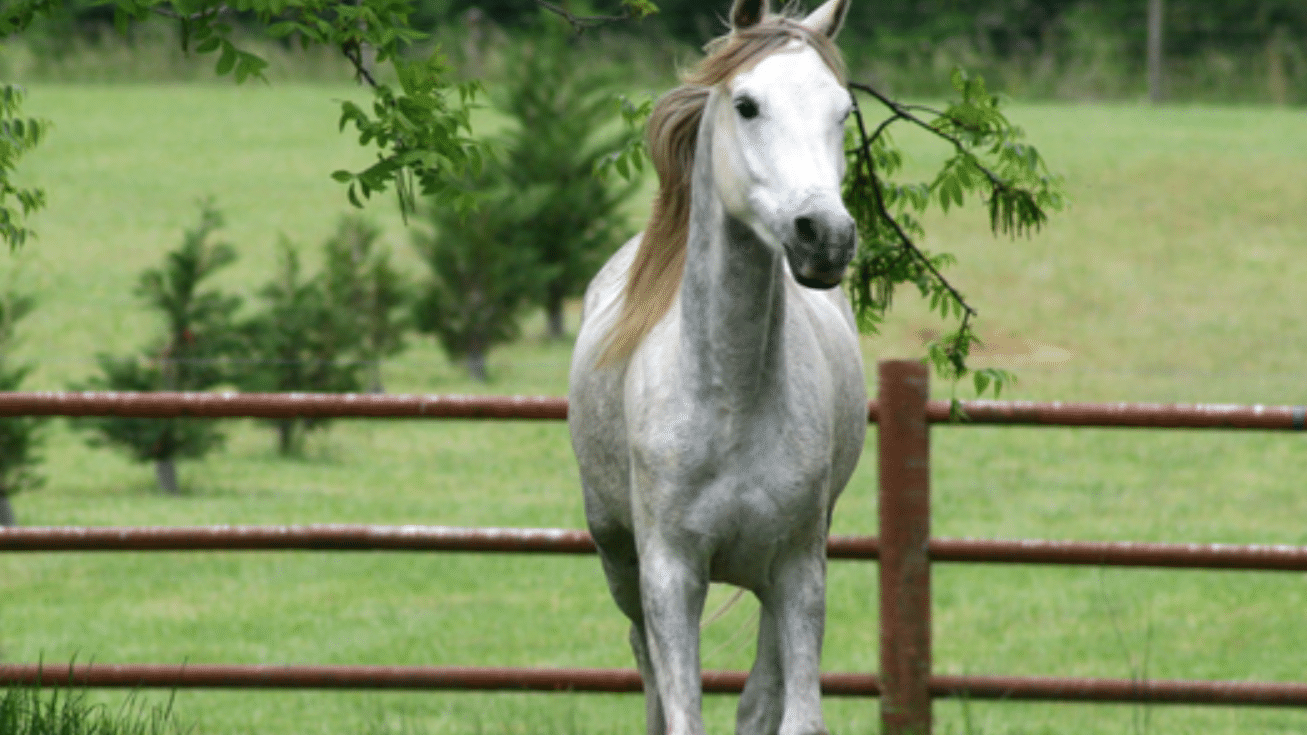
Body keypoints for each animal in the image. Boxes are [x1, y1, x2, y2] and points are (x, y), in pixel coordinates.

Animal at [567, 1, 862, 732]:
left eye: (842, 111)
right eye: (747, 105)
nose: (826, 236)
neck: (730, 399)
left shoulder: (798, 568)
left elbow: (791, 711)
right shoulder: (669, 574)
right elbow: (679, 705)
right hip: (618, 558)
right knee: (644, 663)